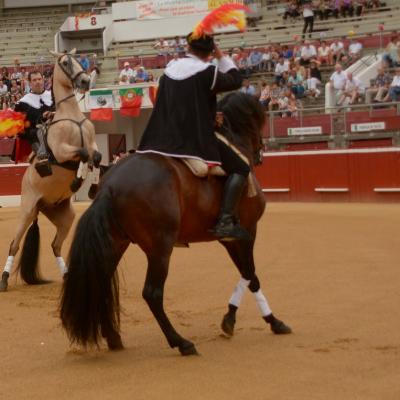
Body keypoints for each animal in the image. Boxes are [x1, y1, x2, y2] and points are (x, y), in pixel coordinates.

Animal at [0, 50, 101, 294]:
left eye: (79, 60)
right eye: (65, 62)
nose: (85, 81)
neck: (72, 116)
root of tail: (40, 206)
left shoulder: (94, 144)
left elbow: (96, 157)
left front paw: (91, 186)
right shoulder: (63, 151)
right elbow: (83, 154)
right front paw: (77, 180)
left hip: (64, 216)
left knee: (55, 245)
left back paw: (67, 275)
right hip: (26, 211)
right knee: (14, 245)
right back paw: (4, 280)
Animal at [59, 92, 290, 354]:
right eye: (260, 120)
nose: (261, 151)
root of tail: (109, 185)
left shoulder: (229, 240)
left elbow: (246, 274)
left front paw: (230, 320)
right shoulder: (248, 232)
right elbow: (251, 275)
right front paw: (272, 321)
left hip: (117, 243)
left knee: (103, 281)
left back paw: (114, 338)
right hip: (160, 249)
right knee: (152, 293)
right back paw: (181, 342)